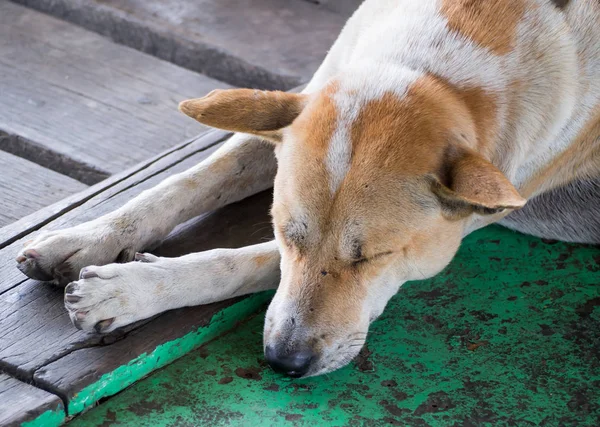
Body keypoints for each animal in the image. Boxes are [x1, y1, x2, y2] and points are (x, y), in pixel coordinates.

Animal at [15, 0, 600, 378]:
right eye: (285, 230)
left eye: (375, 258)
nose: (283, 363)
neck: (435, 70)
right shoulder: (293, 108)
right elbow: (188, 180)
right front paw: (87, 237)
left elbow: (239, 262)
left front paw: (127, 290)